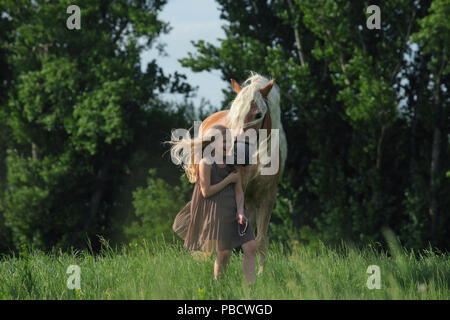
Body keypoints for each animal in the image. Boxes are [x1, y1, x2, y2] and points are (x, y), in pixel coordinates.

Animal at [198, 73, 288, 276]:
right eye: (235, 114)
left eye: (258, 115)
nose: (235, 150)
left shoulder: (267, 196)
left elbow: (260, 239)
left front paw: (260, 274)